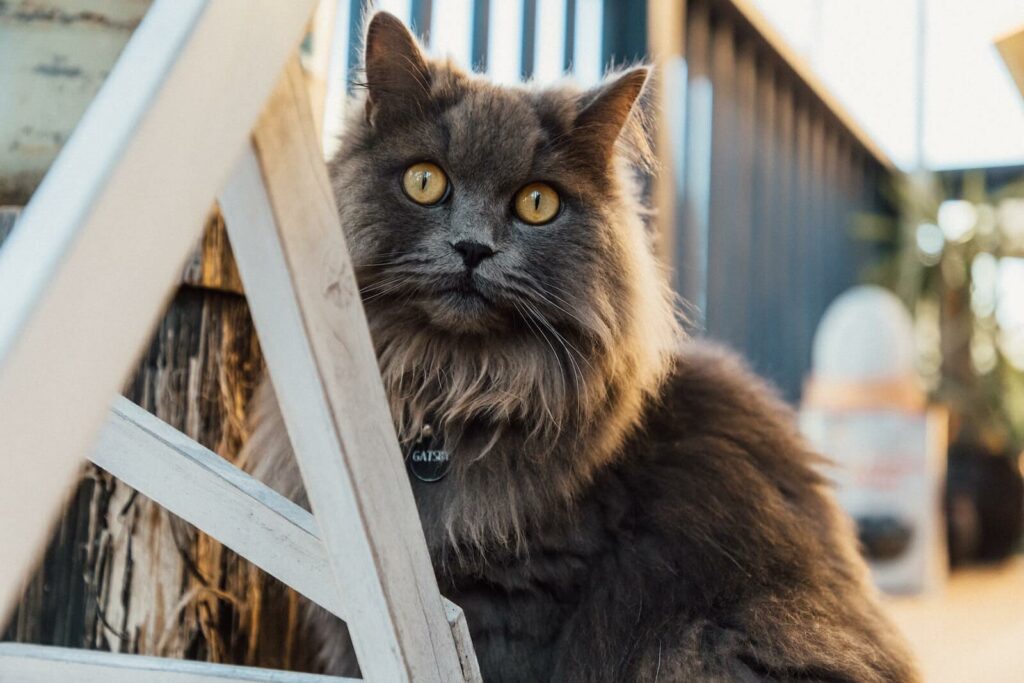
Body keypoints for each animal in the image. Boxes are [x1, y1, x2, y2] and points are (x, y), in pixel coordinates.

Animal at [241, 10, 921, 683]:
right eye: (425, 182)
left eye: (537, 203)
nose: (473, 247)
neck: (452, 387)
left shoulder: (523, 601)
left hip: (704, 642)